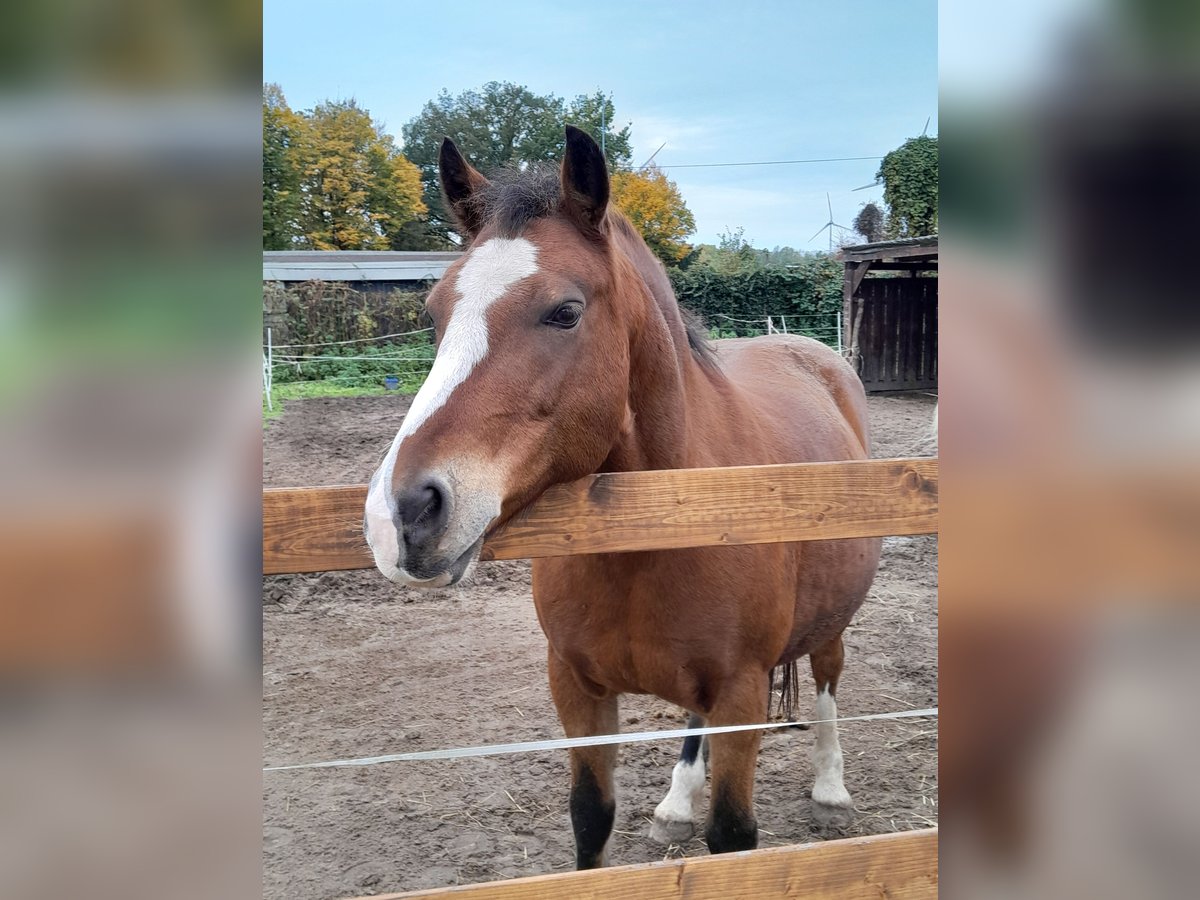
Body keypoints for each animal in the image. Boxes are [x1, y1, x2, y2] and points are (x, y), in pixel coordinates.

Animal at [362, 125, 883, 868]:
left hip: (832, 620)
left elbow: (733, 837)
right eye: (434, 314)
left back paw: (831, 789)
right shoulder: (576, 688)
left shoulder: (741, 694)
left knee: (830, 678)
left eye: (565, 311)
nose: (401, 513)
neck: (646, 537)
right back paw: (676, 804)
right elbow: (591, 818)